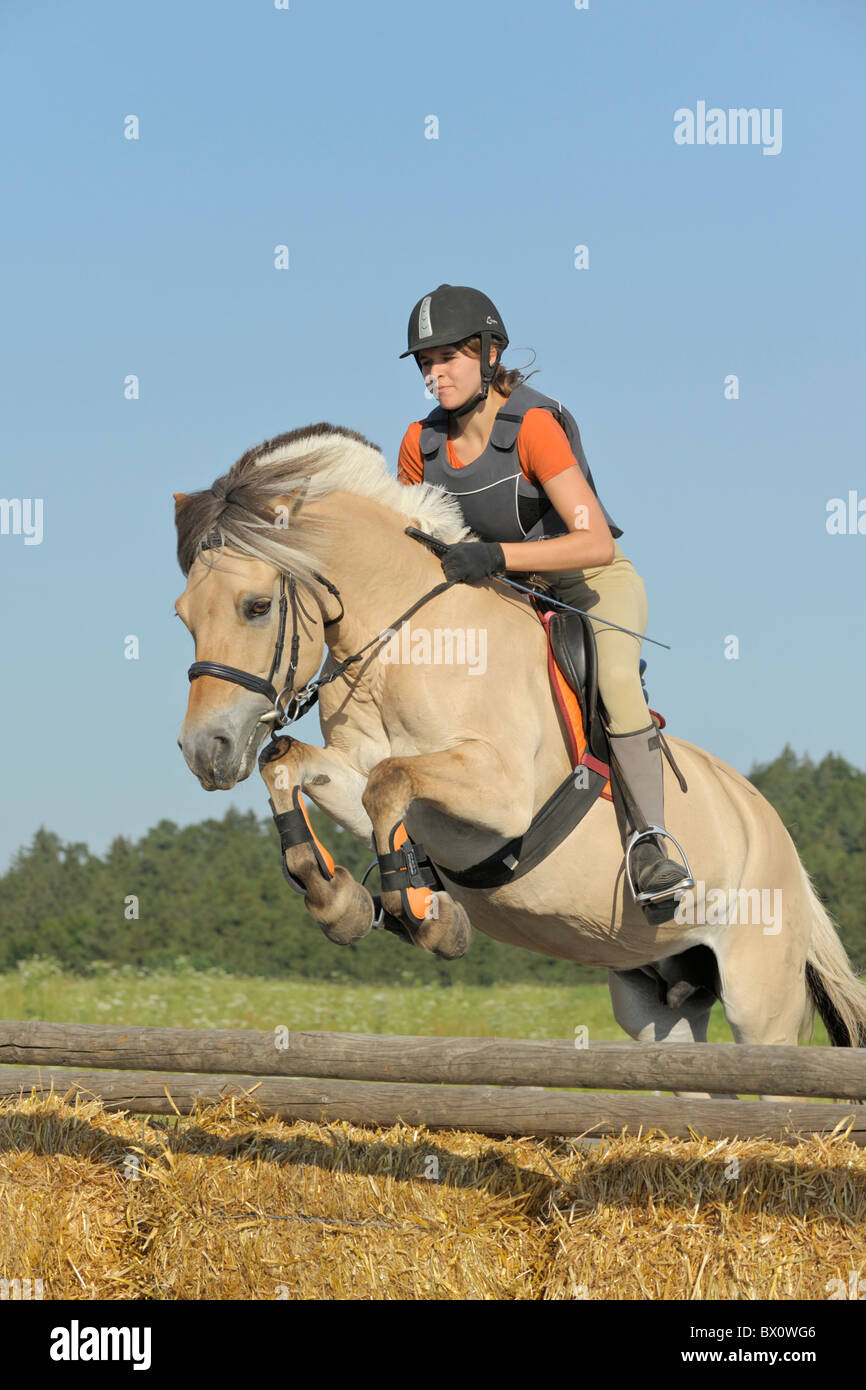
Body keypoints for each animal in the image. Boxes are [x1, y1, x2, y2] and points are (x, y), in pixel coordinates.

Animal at [174, 417, 866, 1089]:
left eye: (257, 606)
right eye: (184, 616)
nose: (204, 751)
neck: (407, 647)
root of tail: (776, 833)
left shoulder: (500, 795)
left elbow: (388, 782)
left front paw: (422, 913)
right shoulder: (351, 771)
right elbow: (291, 765)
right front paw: (338, 900)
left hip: (759, 998)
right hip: (656, 995)